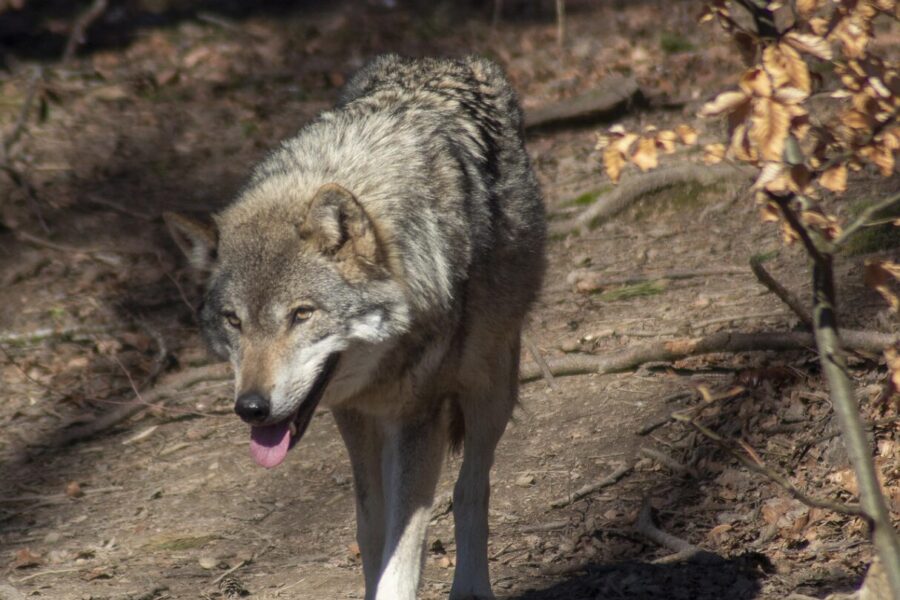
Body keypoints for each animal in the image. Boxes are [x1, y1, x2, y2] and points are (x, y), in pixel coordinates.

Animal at [165, 54, 545, 600]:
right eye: (233, 321)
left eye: (302, 314)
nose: (251, 409)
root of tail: (439, 58)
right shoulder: (354, 413)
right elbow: (370, 529)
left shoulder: (419, 417)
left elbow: (403, 552)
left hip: (488, 385)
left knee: (472, 487)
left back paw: (472, 585)